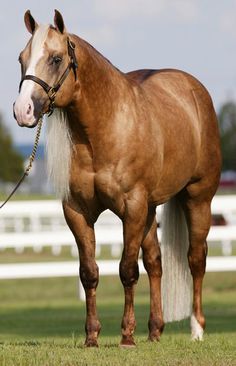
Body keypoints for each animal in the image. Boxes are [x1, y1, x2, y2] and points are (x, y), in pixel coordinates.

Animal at [13, 9, 221, 346]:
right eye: (22, 58)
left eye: (56, 59)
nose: (23, 110)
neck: (105, 128)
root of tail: (193, 89)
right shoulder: (77, 212)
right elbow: (89, 272)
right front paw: (92, 337)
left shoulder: (132, 208)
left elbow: (127, 270)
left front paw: (126, 336)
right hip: (151, 209)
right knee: (155, 263)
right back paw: (155, 330)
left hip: (197, 198)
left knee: (196, 258)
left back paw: (197, 329)